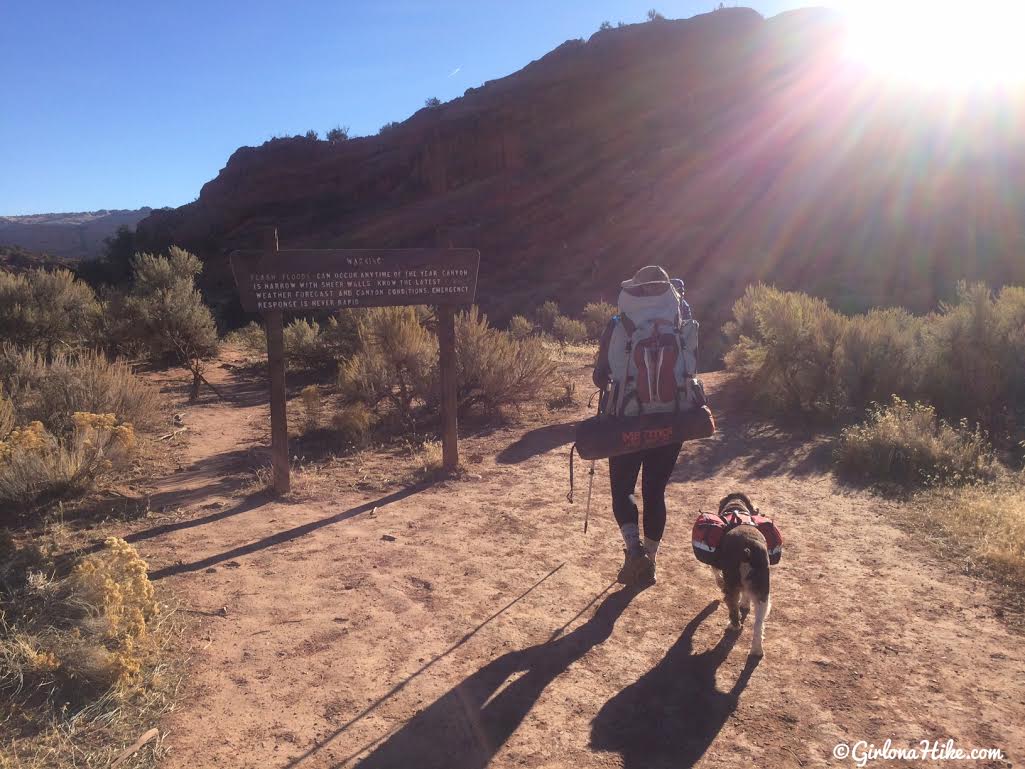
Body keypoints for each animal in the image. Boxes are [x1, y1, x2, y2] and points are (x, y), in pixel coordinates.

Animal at [713, 494, 770, 656]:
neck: (736, 508)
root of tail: (747, 548)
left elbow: (716, 574)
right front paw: (745, 604)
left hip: (732, 582)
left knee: (732, 605)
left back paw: (733, 625)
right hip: (763, 591)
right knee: (758, 623)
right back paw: (757, 650)